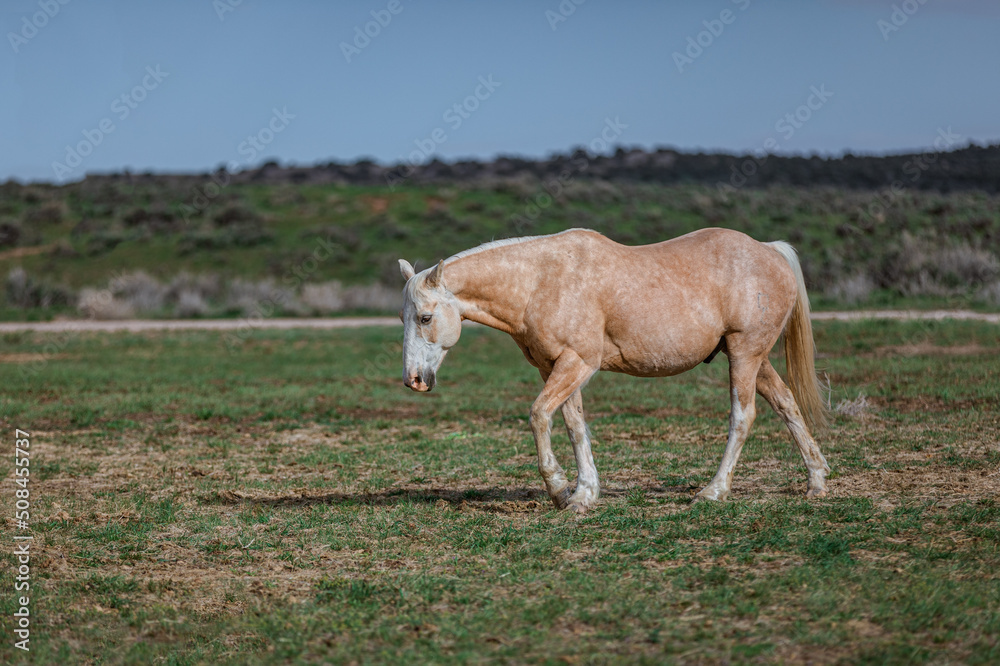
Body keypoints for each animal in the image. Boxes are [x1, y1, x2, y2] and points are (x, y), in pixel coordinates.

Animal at [397, 227, 830, 513]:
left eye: (425, 317)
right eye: (403, 317)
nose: (413, 380)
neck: (540, 281)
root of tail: (770, 251)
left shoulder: (577, 363)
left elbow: (540, 415)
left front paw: (559, 489)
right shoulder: (555, 368)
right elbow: (575, 425)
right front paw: (583, 493)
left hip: (744, 355)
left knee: (743, 416)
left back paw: (713, 491)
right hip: (754, 359)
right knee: (787, 404)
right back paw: (816, 480)